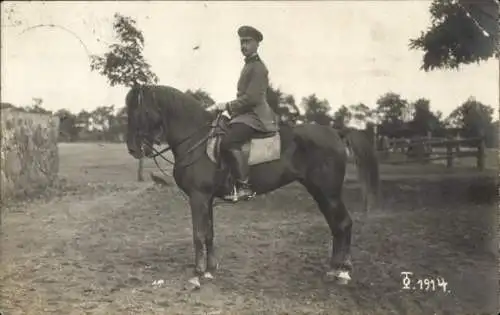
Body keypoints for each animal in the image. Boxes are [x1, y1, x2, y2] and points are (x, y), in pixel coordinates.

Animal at [125, 84, 378, 288]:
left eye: (141, 112)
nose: (133, 149)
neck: (196, 141)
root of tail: (336, 132)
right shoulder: (207, 199)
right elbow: (209, 233)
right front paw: (210, 270)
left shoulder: (198, 197)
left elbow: (198, 234)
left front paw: (197, 275)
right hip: (320, 192)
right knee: (336, 226)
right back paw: (334, 269)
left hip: (328, 192)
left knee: (343, 224)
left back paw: (343, 273)